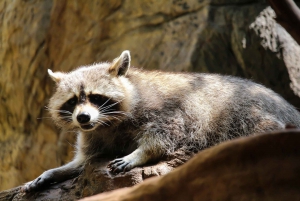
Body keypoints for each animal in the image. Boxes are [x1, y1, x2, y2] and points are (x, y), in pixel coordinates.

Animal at [22, 50, 300, 192]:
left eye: (95, 97)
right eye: (72, 101)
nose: (83, 117)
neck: (107, 123)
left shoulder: (164, 109)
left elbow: (164, 135)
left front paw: (140, 153)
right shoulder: (94, 134)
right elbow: (83, 161)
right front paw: (54, 171)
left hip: (249, 113)